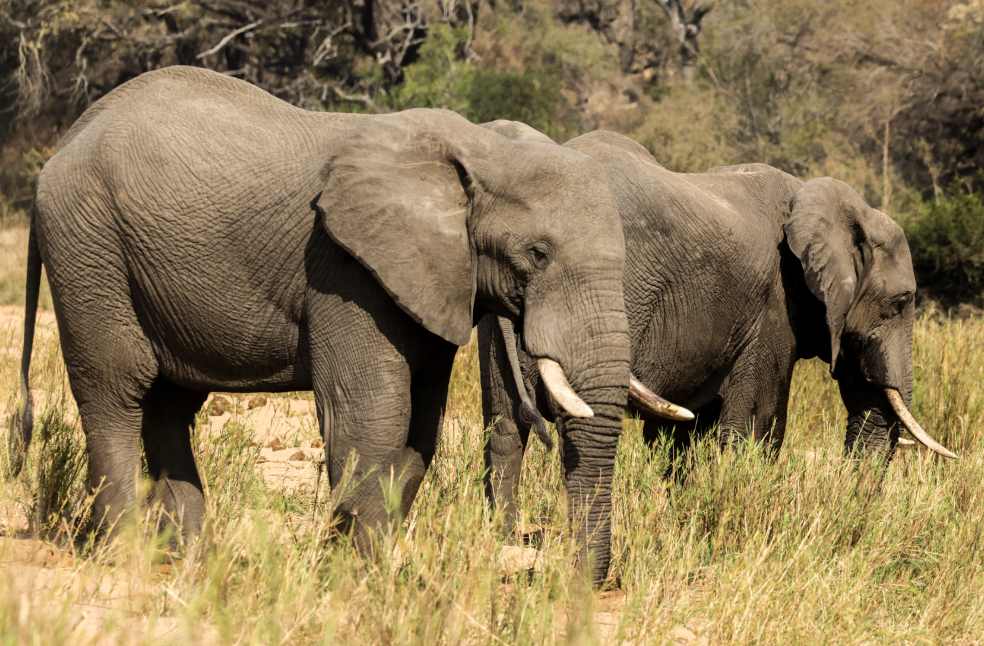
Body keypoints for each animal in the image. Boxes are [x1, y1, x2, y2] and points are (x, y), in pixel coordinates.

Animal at [12, 67, 636, 584]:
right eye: (537, 254)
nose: (571, 582)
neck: (479, 149)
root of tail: (62, 146)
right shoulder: (345, 266)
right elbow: (374, 415)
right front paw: (362, 578)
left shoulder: (431, 277)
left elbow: (419, 429)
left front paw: (353, 564)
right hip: (89, 245)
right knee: (118, 389)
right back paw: (127, 557)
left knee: (170, 404)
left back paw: (193, 560)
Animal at [478, 124, 956, 528]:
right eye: (900, 302)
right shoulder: (775, 305)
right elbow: (760, 425)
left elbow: (680, 436)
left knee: (504, 423)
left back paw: (504, 533)